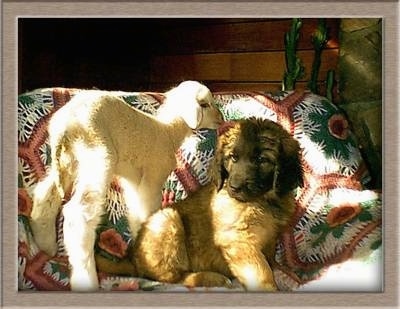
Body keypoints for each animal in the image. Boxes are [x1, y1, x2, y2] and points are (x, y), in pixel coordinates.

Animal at [29, 80, 223, 290]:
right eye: (205, 104)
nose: (221, 119)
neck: (168, 131)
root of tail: (65, 125)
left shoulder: (134, 181)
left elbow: (136, 212)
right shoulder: (152, 178)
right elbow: (148, 210)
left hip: (70, 161)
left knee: (45, 194)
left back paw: (45, 243)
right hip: (98, 155)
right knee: (78, 216)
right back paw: (86, 277)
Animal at [128, 116, 304, 290]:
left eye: (262, 160)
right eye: (233, 157)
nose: (235, 187)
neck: (263, 201)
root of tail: (132, 258)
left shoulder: (270, 239)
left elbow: (271, 262)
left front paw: (286, 273)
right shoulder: (238, 240)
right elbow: (262, 274)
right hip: (166, 219)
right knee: (172, 278)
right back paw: (211, 278)